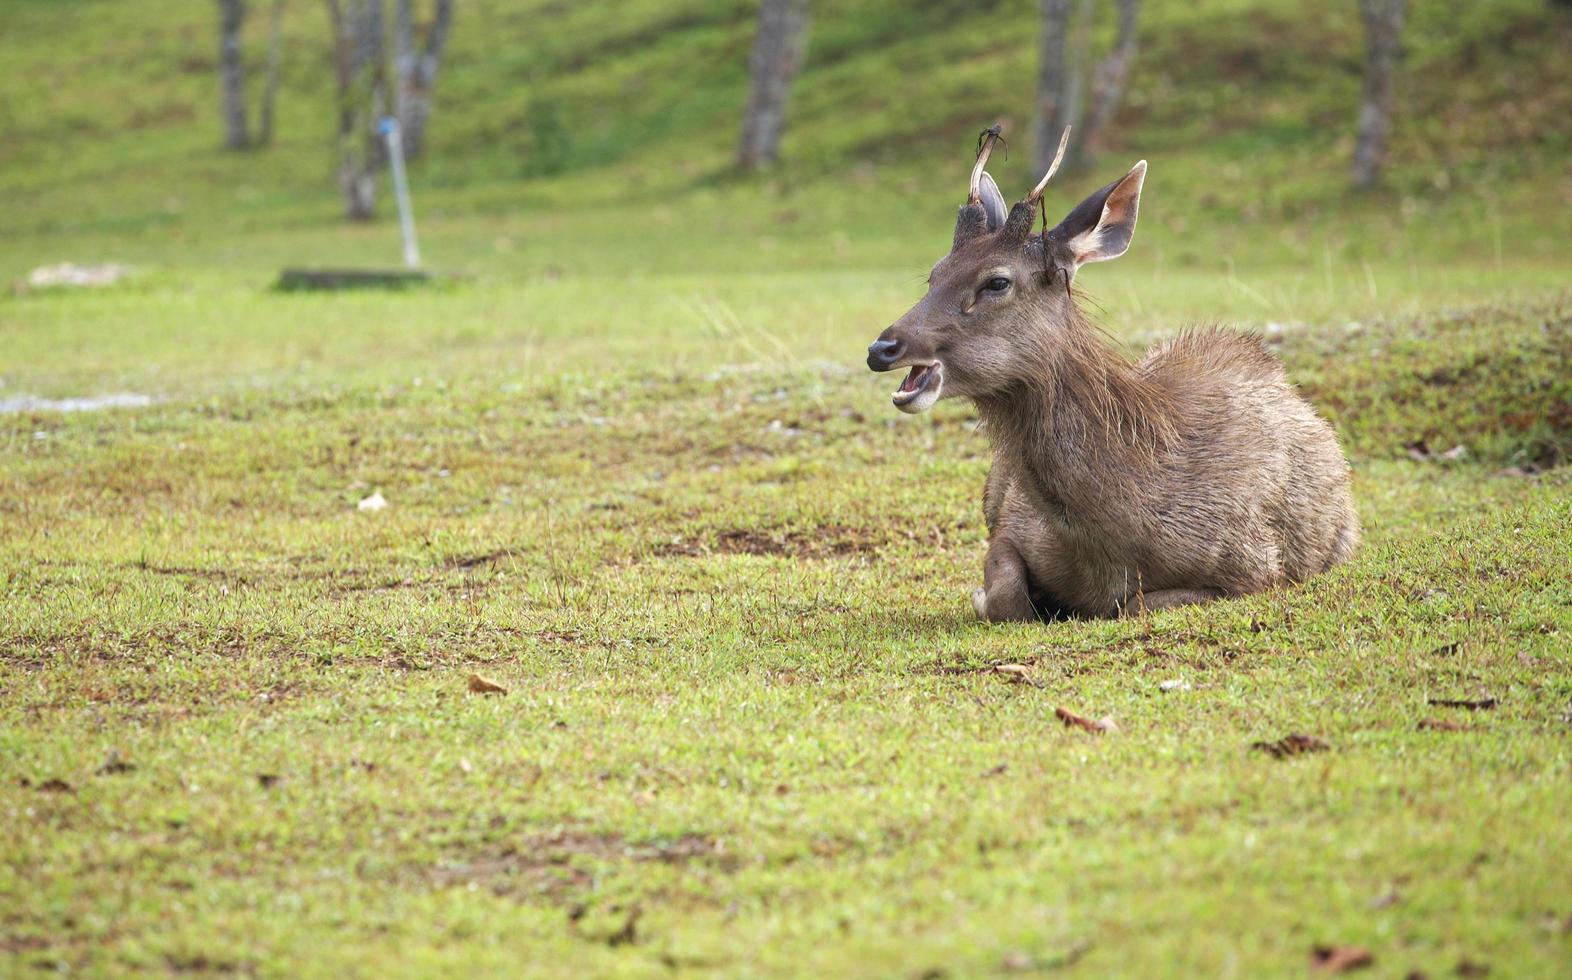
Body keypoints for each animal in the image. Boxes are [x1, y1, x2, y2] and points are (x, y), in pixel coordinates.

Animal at [867, 128, 1358, 619]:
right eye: (933, 274)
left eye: (997, 281)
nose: (881, 347)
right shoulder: (1009, 520)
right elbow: (1007, 593)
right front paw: (988, 596)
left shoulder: (1255, 568)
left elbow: (1132, 605)